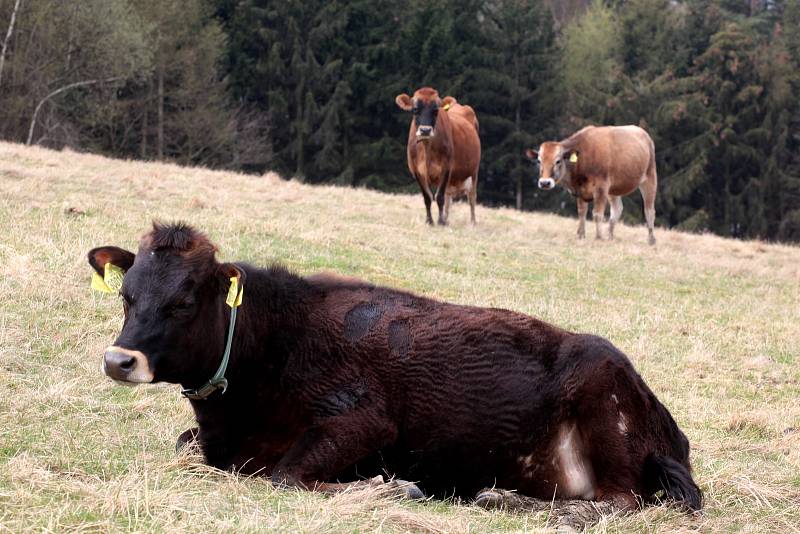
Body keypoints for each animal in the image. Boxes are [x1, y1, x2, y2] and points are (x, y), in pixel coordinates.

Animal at [89, 223, 700, 532]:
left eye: (184, 302)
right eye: (127, 295)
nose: (119, 360)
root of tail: (667, 423)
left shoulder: (367, 419)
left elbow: (285, 476)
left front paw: (388, 486)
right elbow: (184, 444)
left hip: (604, 405)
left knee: (620, 502)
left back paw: (508, 500)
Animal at [396, 85, 478, 226]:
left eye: (435, 110)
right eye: (415, 109)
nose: (425, 130)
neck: (427, 149)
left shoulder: (446, 168)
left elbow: (439, 197)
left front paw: (440, 222)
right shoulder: (416, 171)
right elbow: (427, 197)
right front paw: (429, 221)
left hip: (474, 172)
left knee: (471, 197)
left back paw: (472, 222)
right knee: (449, 199)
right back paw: (447, 218)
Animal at [524, 125, 656, 245]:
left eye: (558, 161)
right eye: (539, 161)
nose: (545, 183)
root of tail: (643, 132)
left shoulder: (601, 188)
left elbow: (597, 213)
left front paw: (599, 237)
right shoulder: (580, 190)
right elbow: (582, 212)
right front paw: (580, 235)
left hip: (650, 177)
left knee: (649, 210)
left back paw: (651, 240)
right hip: (613, 189)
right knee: (617, 209)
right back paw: (610, 237)